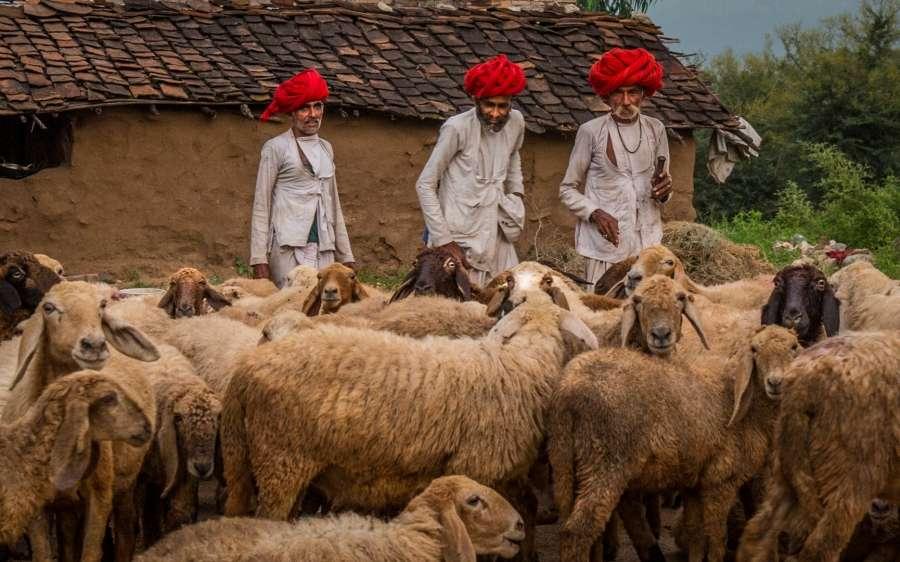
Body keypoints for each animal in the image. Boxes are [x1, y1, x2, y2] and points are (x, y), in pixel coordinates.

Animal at [550, 325, 800, 562]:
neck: (747, 408)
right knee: (578, 531)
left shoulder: (694, 484)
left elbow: (697, 535)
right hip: (604, 463)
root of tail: (568, 390)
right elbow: (717, 539)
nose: (775, 382)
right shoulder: (720, 480)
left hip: (565, 461)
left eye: (794, 347)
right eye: (755, 349)